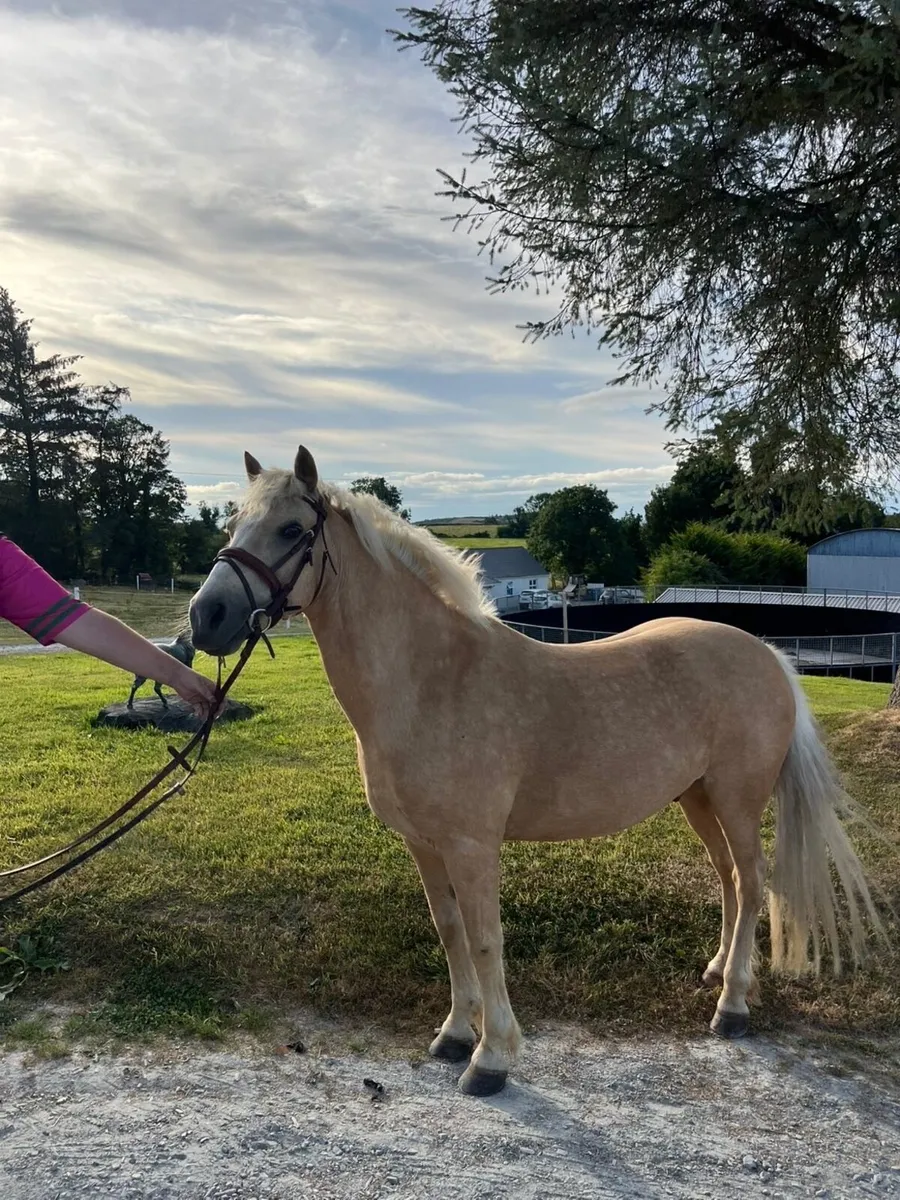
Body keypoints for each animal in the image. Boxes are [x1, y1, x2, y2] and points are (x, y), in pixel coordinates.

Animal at [189, 446, 884, 1097]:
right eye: (234, 523)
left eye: (291, 530)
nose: (206, 617)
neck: (433, 680)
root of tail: (767, 653)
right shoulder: (424, 844)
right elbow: (450, 932)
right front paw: (454, 1033)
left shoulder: (472, 845)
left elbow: (485, 939)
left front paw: (490, 1058)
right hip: (697, 798)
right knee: (732, 881)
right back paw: (717, 973)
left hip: (737, 799)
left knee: (754, 879)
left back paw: (733, 1004)